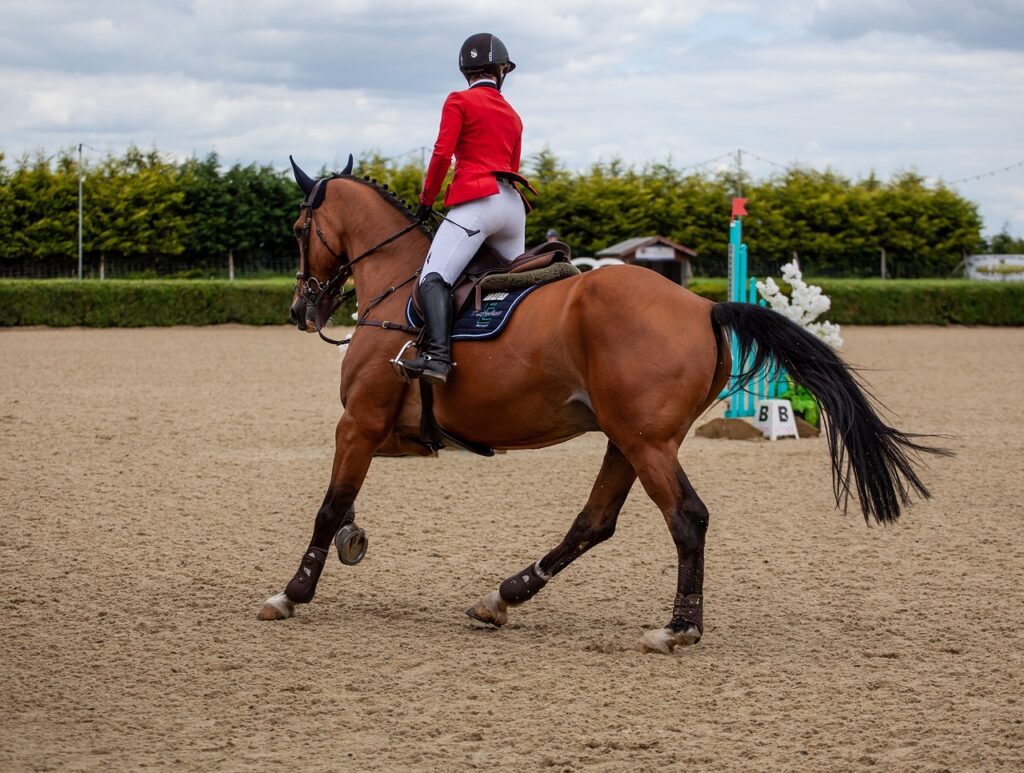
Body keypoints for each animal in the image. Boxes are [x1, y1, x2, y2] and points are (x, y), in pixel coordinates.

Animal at [256, 160, 942, 655]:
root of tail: (702, 306)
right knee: (594, 523)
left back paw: (677, 629)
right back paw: (502, 597)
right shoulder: (392, 433)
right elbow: (344, 500)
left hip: (644, 442)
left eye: (297, 231)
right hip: (627, 438)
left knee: (686, 518)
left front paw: (292, 593)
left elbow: (328, 505)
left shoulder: (360, 423)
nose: (300, 309)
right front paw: (351, 541)